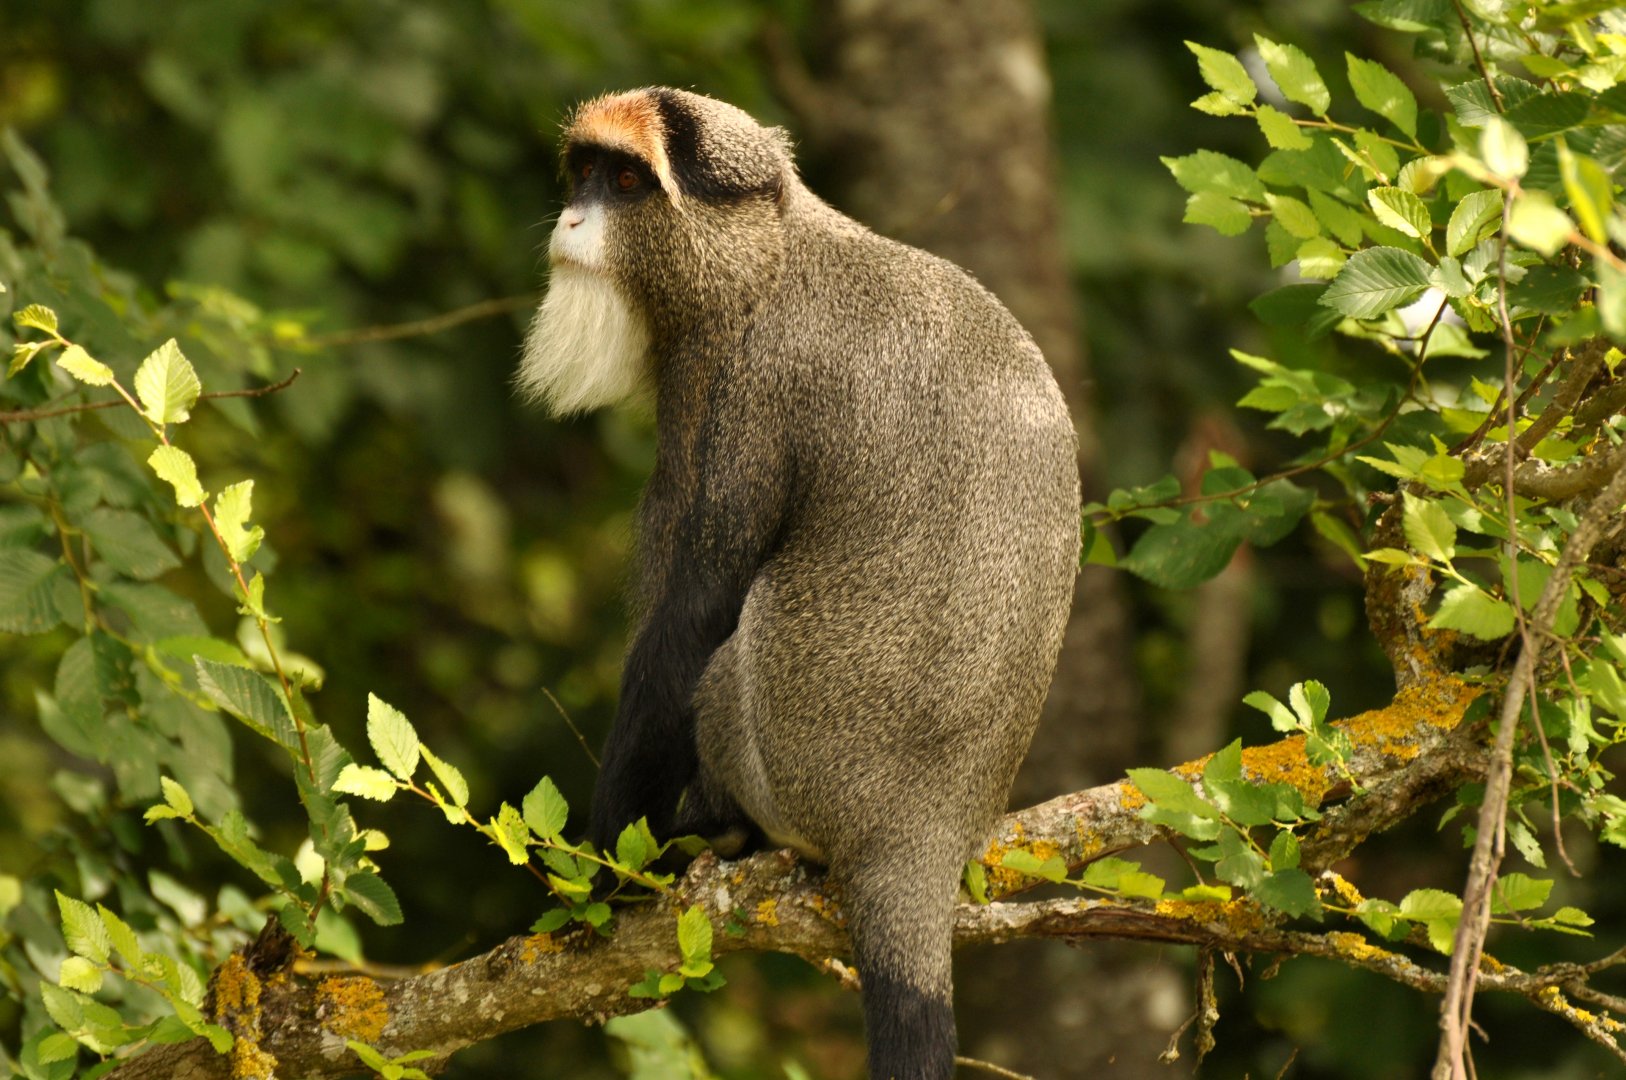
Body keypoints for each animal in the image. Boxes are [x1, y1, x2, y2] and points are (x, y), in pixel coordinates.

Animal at [518, 88, 1080, 1080]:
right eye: (583, 172)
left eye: (626, 182)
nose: (572, 222)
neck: (773, 254)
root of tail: (921, 837)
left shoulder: (747, 389)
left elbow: (693, 613)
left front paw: (609, 865)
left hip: (784, 765)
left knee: (725, 664)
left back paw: (713, 830)